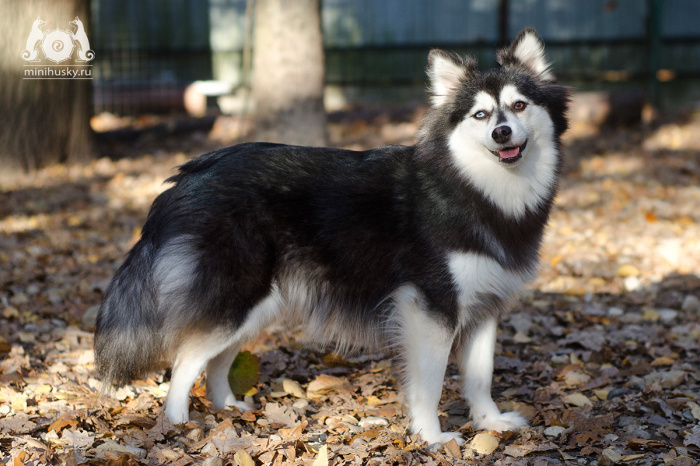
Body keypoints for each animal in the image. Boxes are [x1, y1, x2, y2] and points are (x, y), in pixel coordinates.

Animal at [95, 29, 568, 444]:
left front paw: (489, 423)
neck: (473, 187)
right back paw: (176, 426)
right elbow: (431, 383)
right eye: (480, 115)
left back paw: (227, 409)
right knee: (184, 359)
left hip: (260, 305)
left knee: (215, 361)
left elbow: (480, 375)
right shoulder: (430, 307)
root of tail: (187, 177)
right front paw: (432, 438)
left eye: (519, 105)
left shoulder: (484, 307)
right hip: (237, 297)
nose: (502, 133)